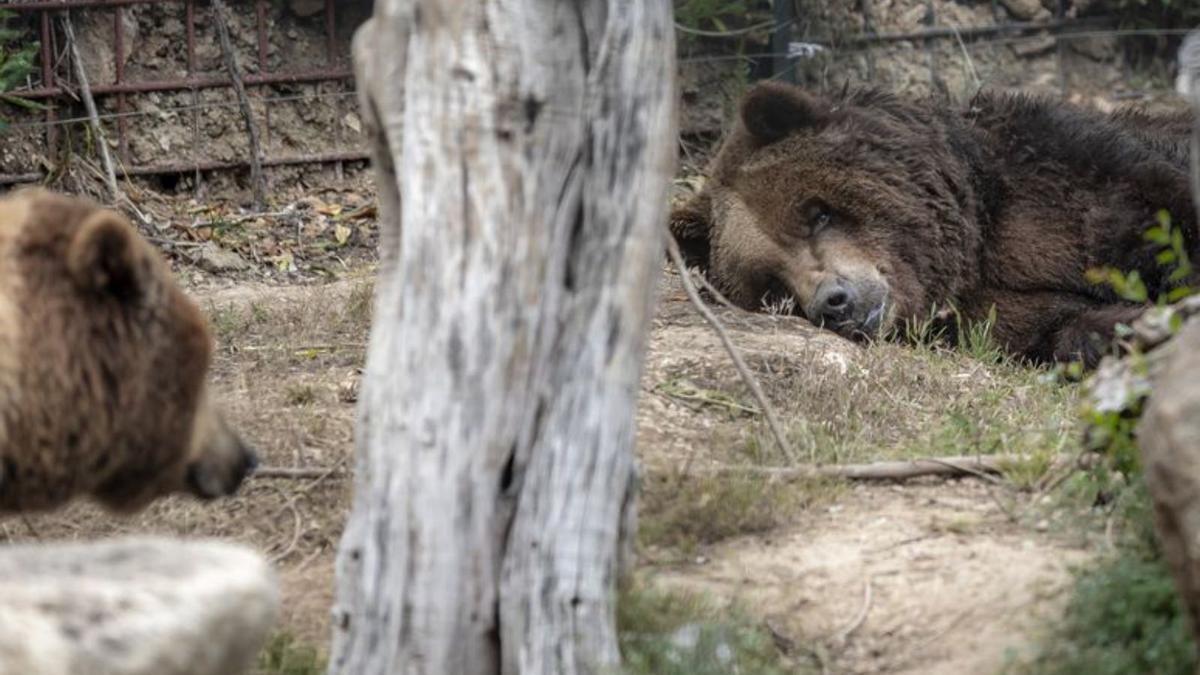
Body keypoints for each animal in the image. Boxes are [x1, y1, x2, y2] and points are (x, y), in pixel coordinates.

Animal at [672, 82, 1195, 367]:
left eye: (816, 214)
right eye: (772, 286)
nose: (834, 303)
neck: (973, 244)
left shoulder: (1066, 180)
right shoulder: (992, 309)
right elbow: (1066, 325)